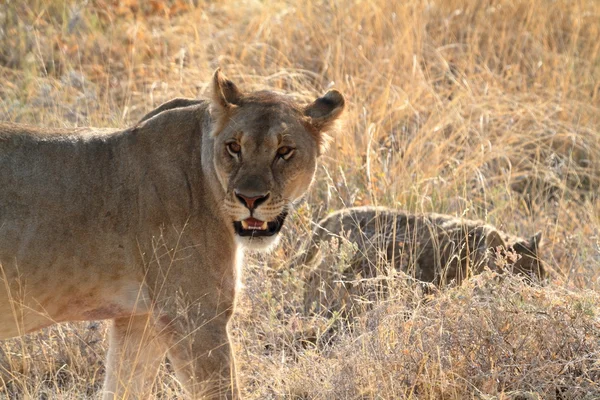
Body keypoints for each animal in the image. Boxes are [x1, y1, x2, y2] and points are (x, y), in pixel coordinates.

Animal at [0, 70, 344, 398]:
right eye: (234, 147)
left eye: (284, 151)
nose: (250, 199)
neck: (206, 179)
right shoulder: (194, 317)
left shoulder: (140, 318)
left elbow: (124, 387)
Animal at [298, 208, 544, 318]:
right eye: (524, 271)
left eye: (539, 271)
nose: (539, 288)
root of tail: (334, 215)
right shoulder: (432, 280)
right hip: (342, 268)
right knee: (313, 280)